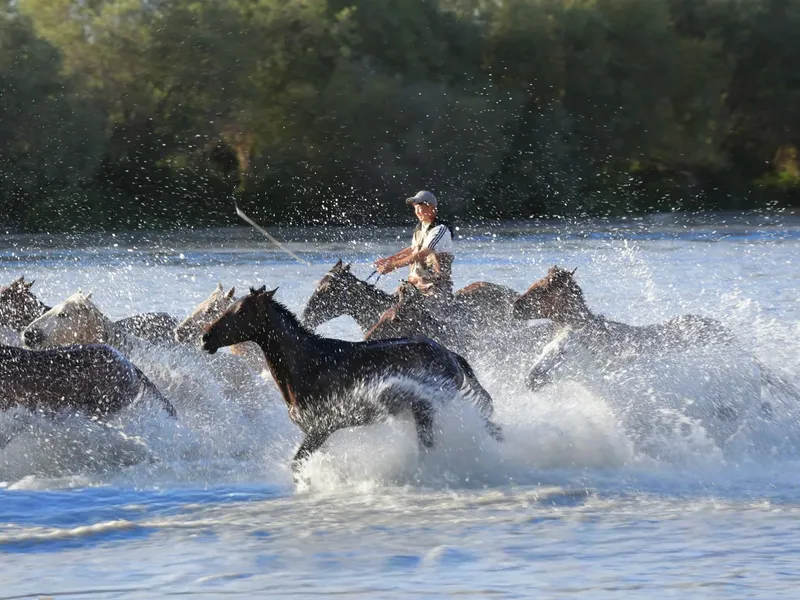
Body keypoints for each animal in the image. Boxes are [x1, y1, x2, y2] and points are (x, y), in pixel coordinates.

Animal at [202, 286, 503, 475]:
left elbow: (297, 464)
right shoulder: (313, 432)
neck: (308, 365)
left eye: (241, 311)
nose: (206, 338)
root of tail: (451, 356)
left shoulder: (322, 428)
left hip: (426, 411)